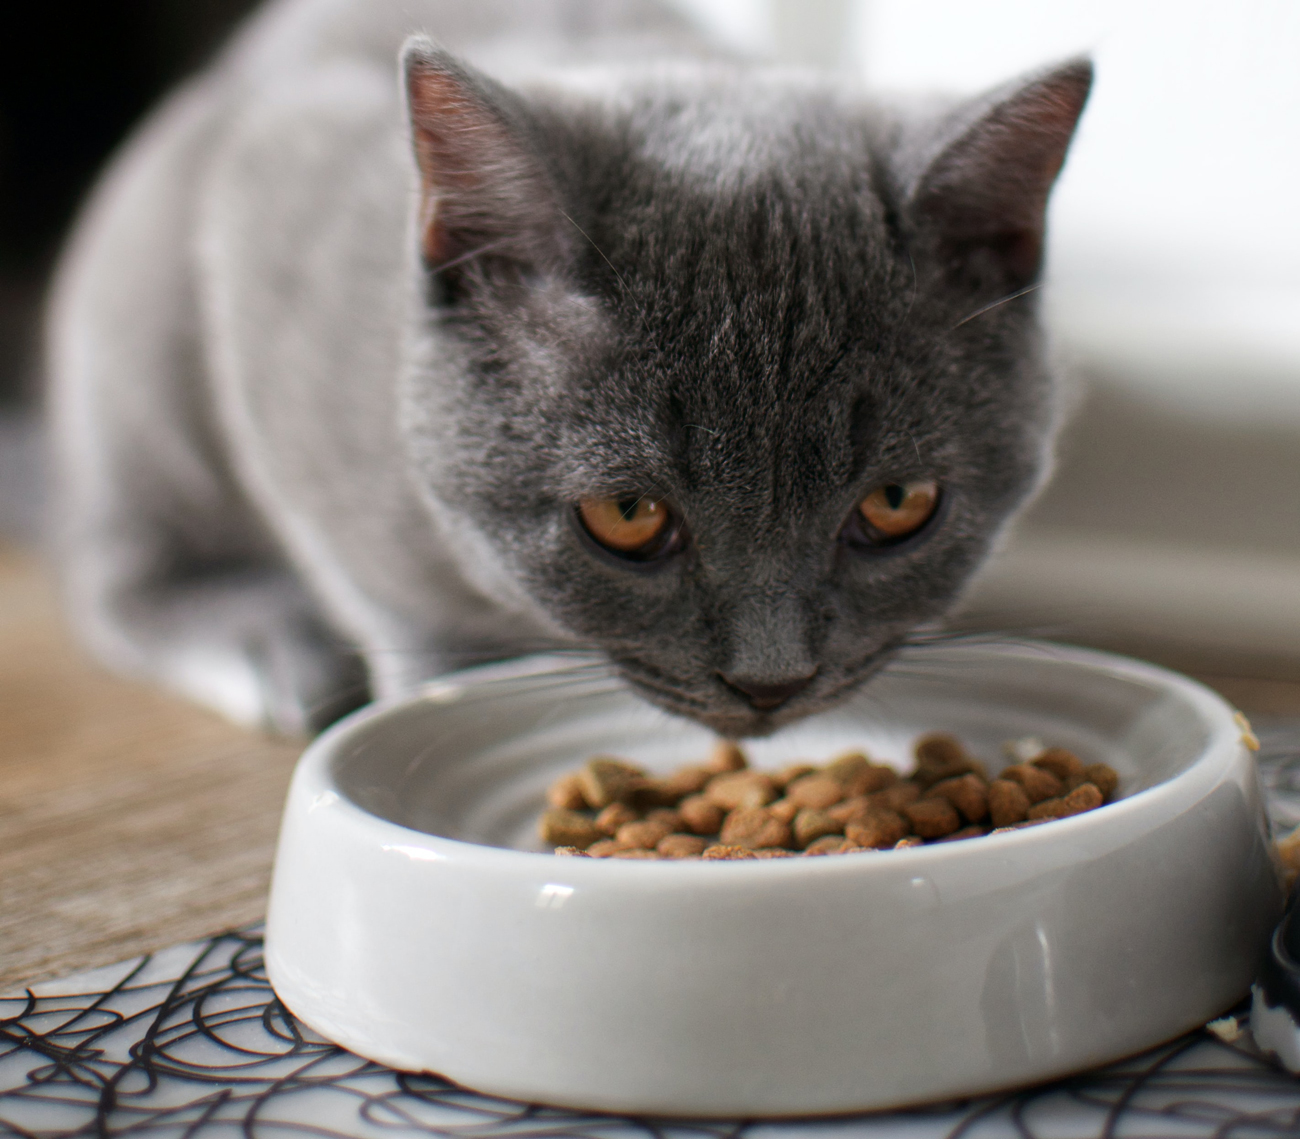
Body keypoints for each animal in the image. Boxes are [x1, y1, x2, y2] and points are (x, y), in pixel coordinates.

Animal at [45, 0, 1092, 738]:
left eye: (897, 504)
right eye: (627, 516)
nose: (769, 680)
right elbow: (390, 596)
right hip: (140, 318)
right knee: (116, 570)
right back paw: (260, 644)